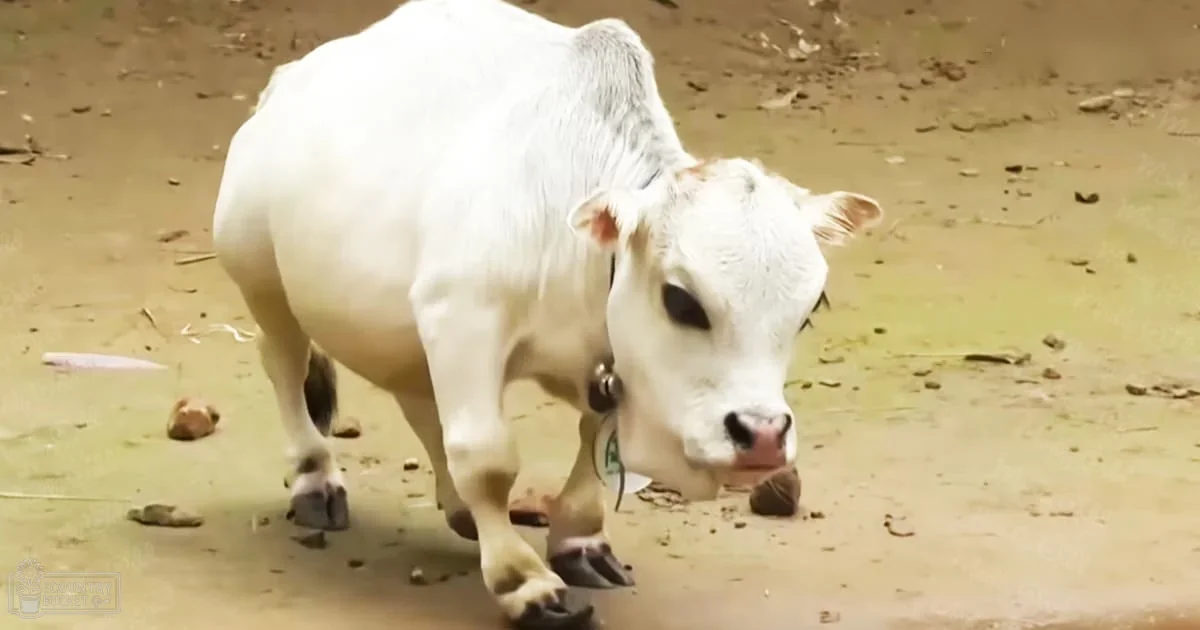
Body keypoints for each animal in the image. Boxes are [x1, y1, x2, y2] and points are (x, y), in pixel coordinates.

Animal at [211, 0, 882, 626]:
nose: (762, 436)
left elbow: (591, 446)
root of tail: (286, 84)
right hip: (262, 279)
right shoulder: (463, 319)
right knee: (286, 364)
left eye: (809, 309)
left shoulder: (592, 367)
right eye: (681, 299)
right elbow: (486, 457)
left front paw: (579, 541)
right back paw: (316, 477)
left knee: (419, 405)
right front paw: (523, 582)